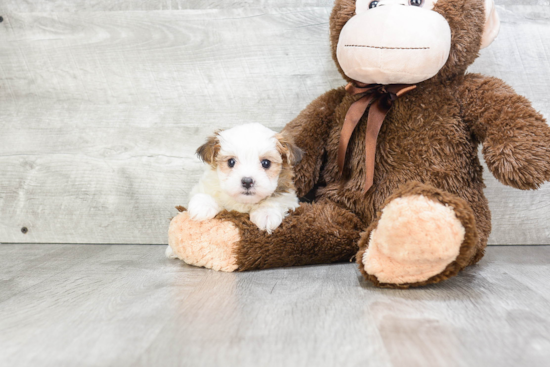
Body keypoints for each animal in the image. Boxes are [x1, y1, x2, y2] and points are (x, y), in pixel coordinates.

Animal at [166, 126, 304, 258]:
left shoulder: (288, 195)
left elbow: (276, 199)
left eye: (266, 163)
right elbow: (204, 194)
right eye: (231, 162)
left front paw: (266, 214)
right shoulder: (204, 186)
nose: (247, 181)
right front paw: (202, 207)